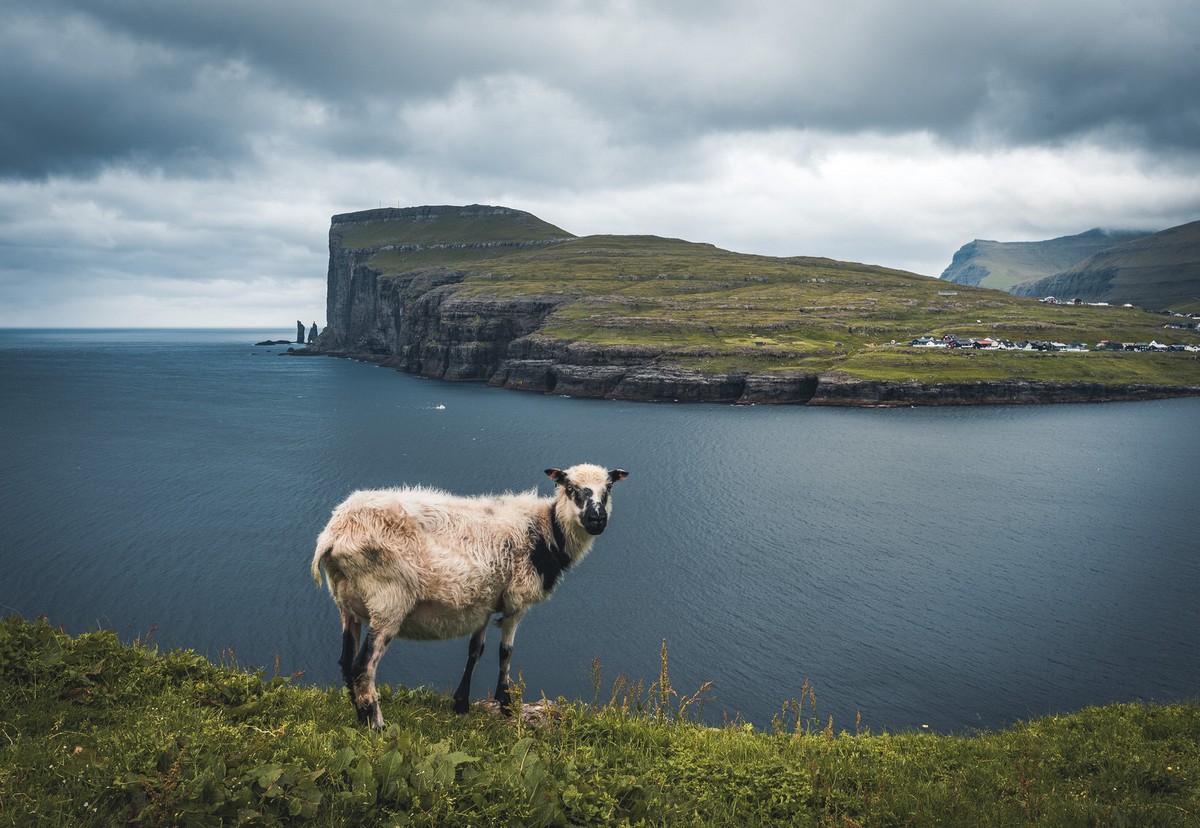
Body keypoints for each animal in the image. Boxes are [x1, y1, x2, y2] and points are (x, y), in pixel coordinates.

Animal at [309, 460, 628, 724]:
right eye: (570, 488)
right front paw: (506, 704)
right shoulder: (516, 599)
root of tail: (333, 534)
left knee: (346, 662)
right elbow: (505, 651)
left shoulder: (484, 601)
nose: (597, 519)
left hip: (347, 602)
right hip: (388, 601)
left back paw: (361, 717)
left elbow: (476, 650)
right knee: (363, 667)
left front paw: (461, 703)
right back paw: (377, 725)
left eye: (608, 488)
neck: (546, 531)